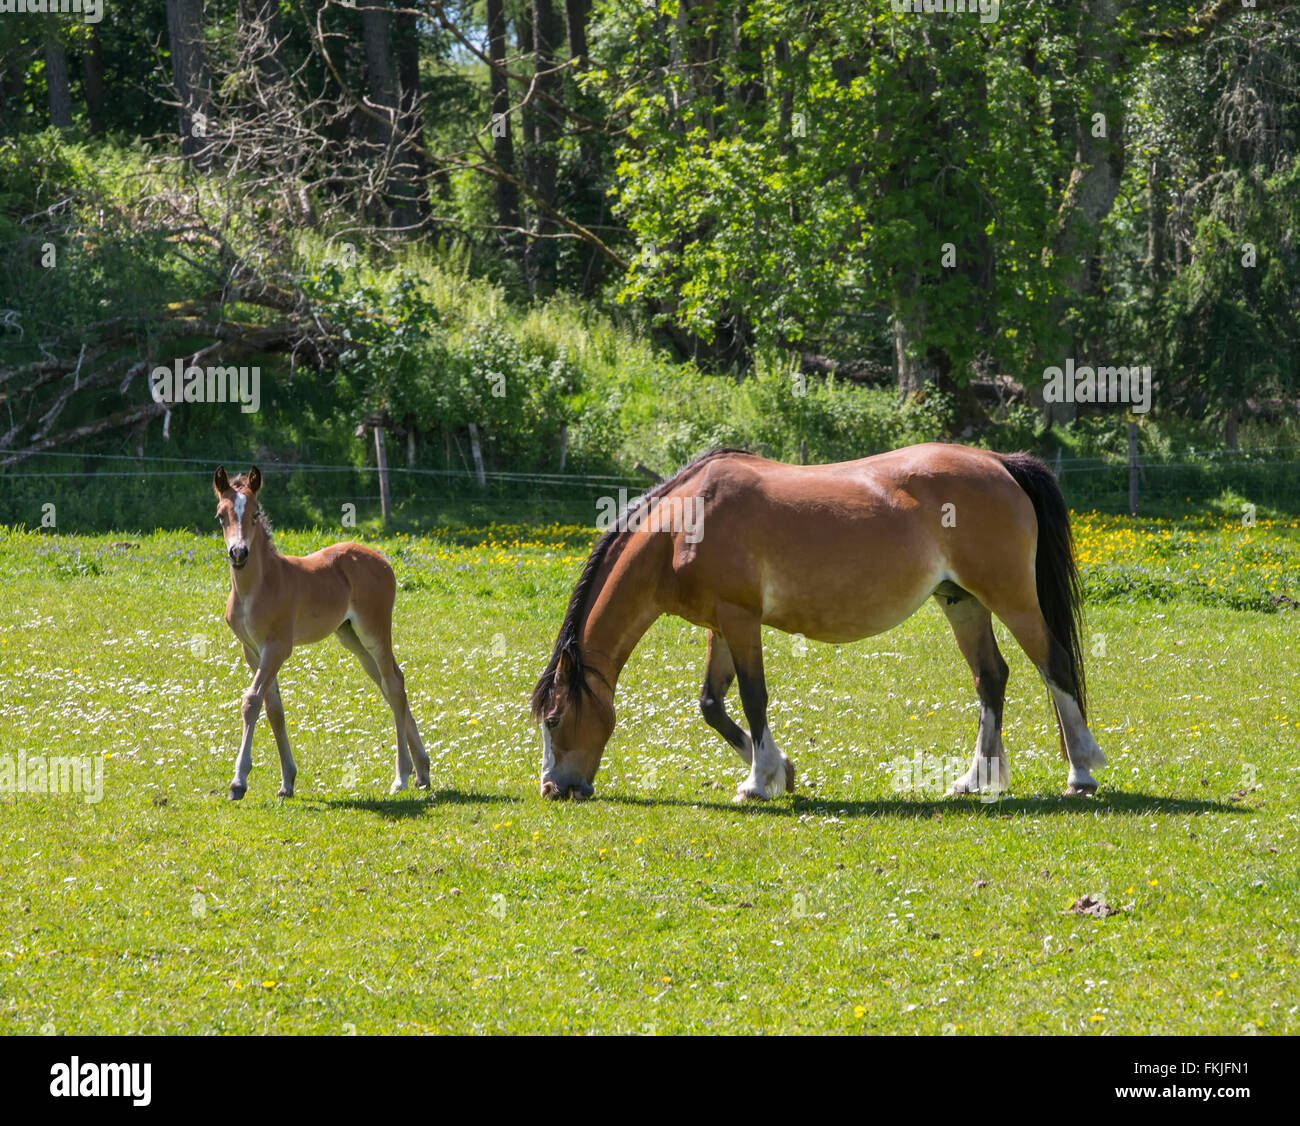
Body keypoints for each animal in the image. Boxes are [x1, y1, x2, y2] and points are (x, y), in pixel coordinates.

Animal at [212, 466, 430, 800]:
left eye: (255, 514)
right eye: (221, 516)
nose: (239, 553)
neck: (257, 587)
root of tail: (383, 559)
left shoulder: (278, 647)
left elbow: (252, 701)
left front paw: (238, 781)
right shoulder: (252, 649)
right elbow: (274, 708)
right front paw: (287, 781)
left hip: (374, 630)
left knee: (393, 685)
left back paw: (402, 776)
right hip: (351, 637)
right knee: (390, 683)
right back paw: (422, 771)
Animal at [531, 443, 1105, 804]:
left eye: (554, 720)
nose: (554, 789)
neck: (681, 527)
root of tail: (999, 462)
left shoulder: (741, 620)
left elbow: (753, 697)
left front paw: (759, 782)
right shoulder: (722, 624)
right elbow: (712, 705)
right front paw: (780, 772)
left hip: (1010, 598)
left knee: (1054, 666)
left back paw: (1080, 773)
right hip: (961, 601)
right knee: (990, 677)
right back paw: (975, 780)